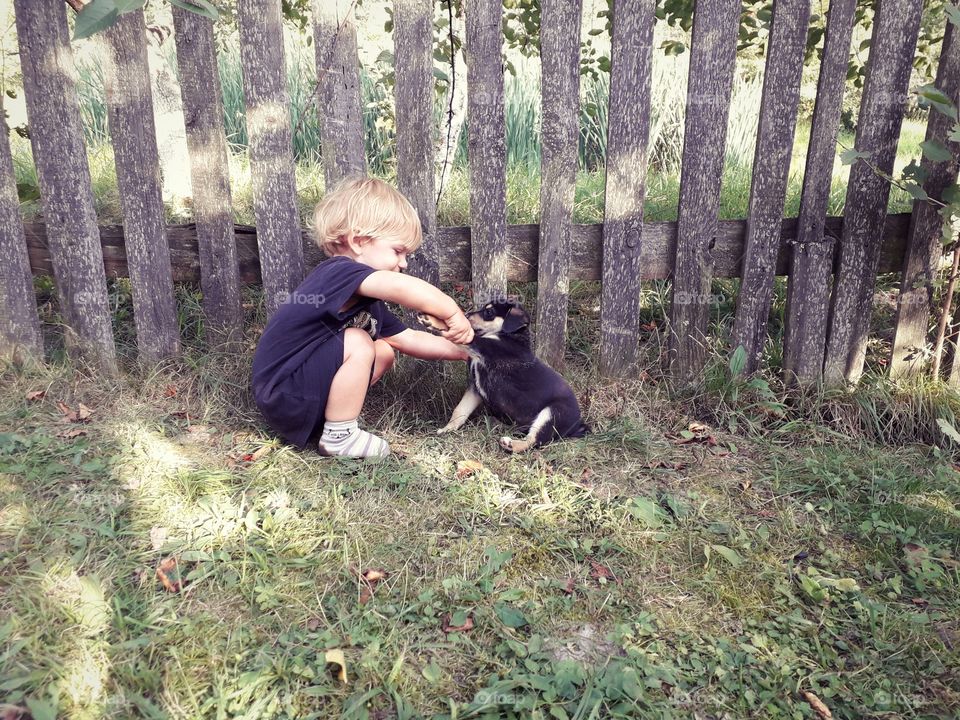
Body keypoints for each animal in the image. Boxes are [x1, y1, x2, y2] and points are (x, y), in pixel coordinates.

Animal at [418, 300, 584, 452]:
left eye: (489, 312)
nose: (465, 315)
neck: (510, 336)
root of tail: (578, 424)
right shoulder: (474, 387)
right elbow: (460, 410)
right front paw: (448, 429)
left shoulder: (484, 347)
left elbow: (464, 336)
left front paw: (432, 320)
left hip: (552, 413)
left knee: (534, 441)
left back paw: (511, 444)